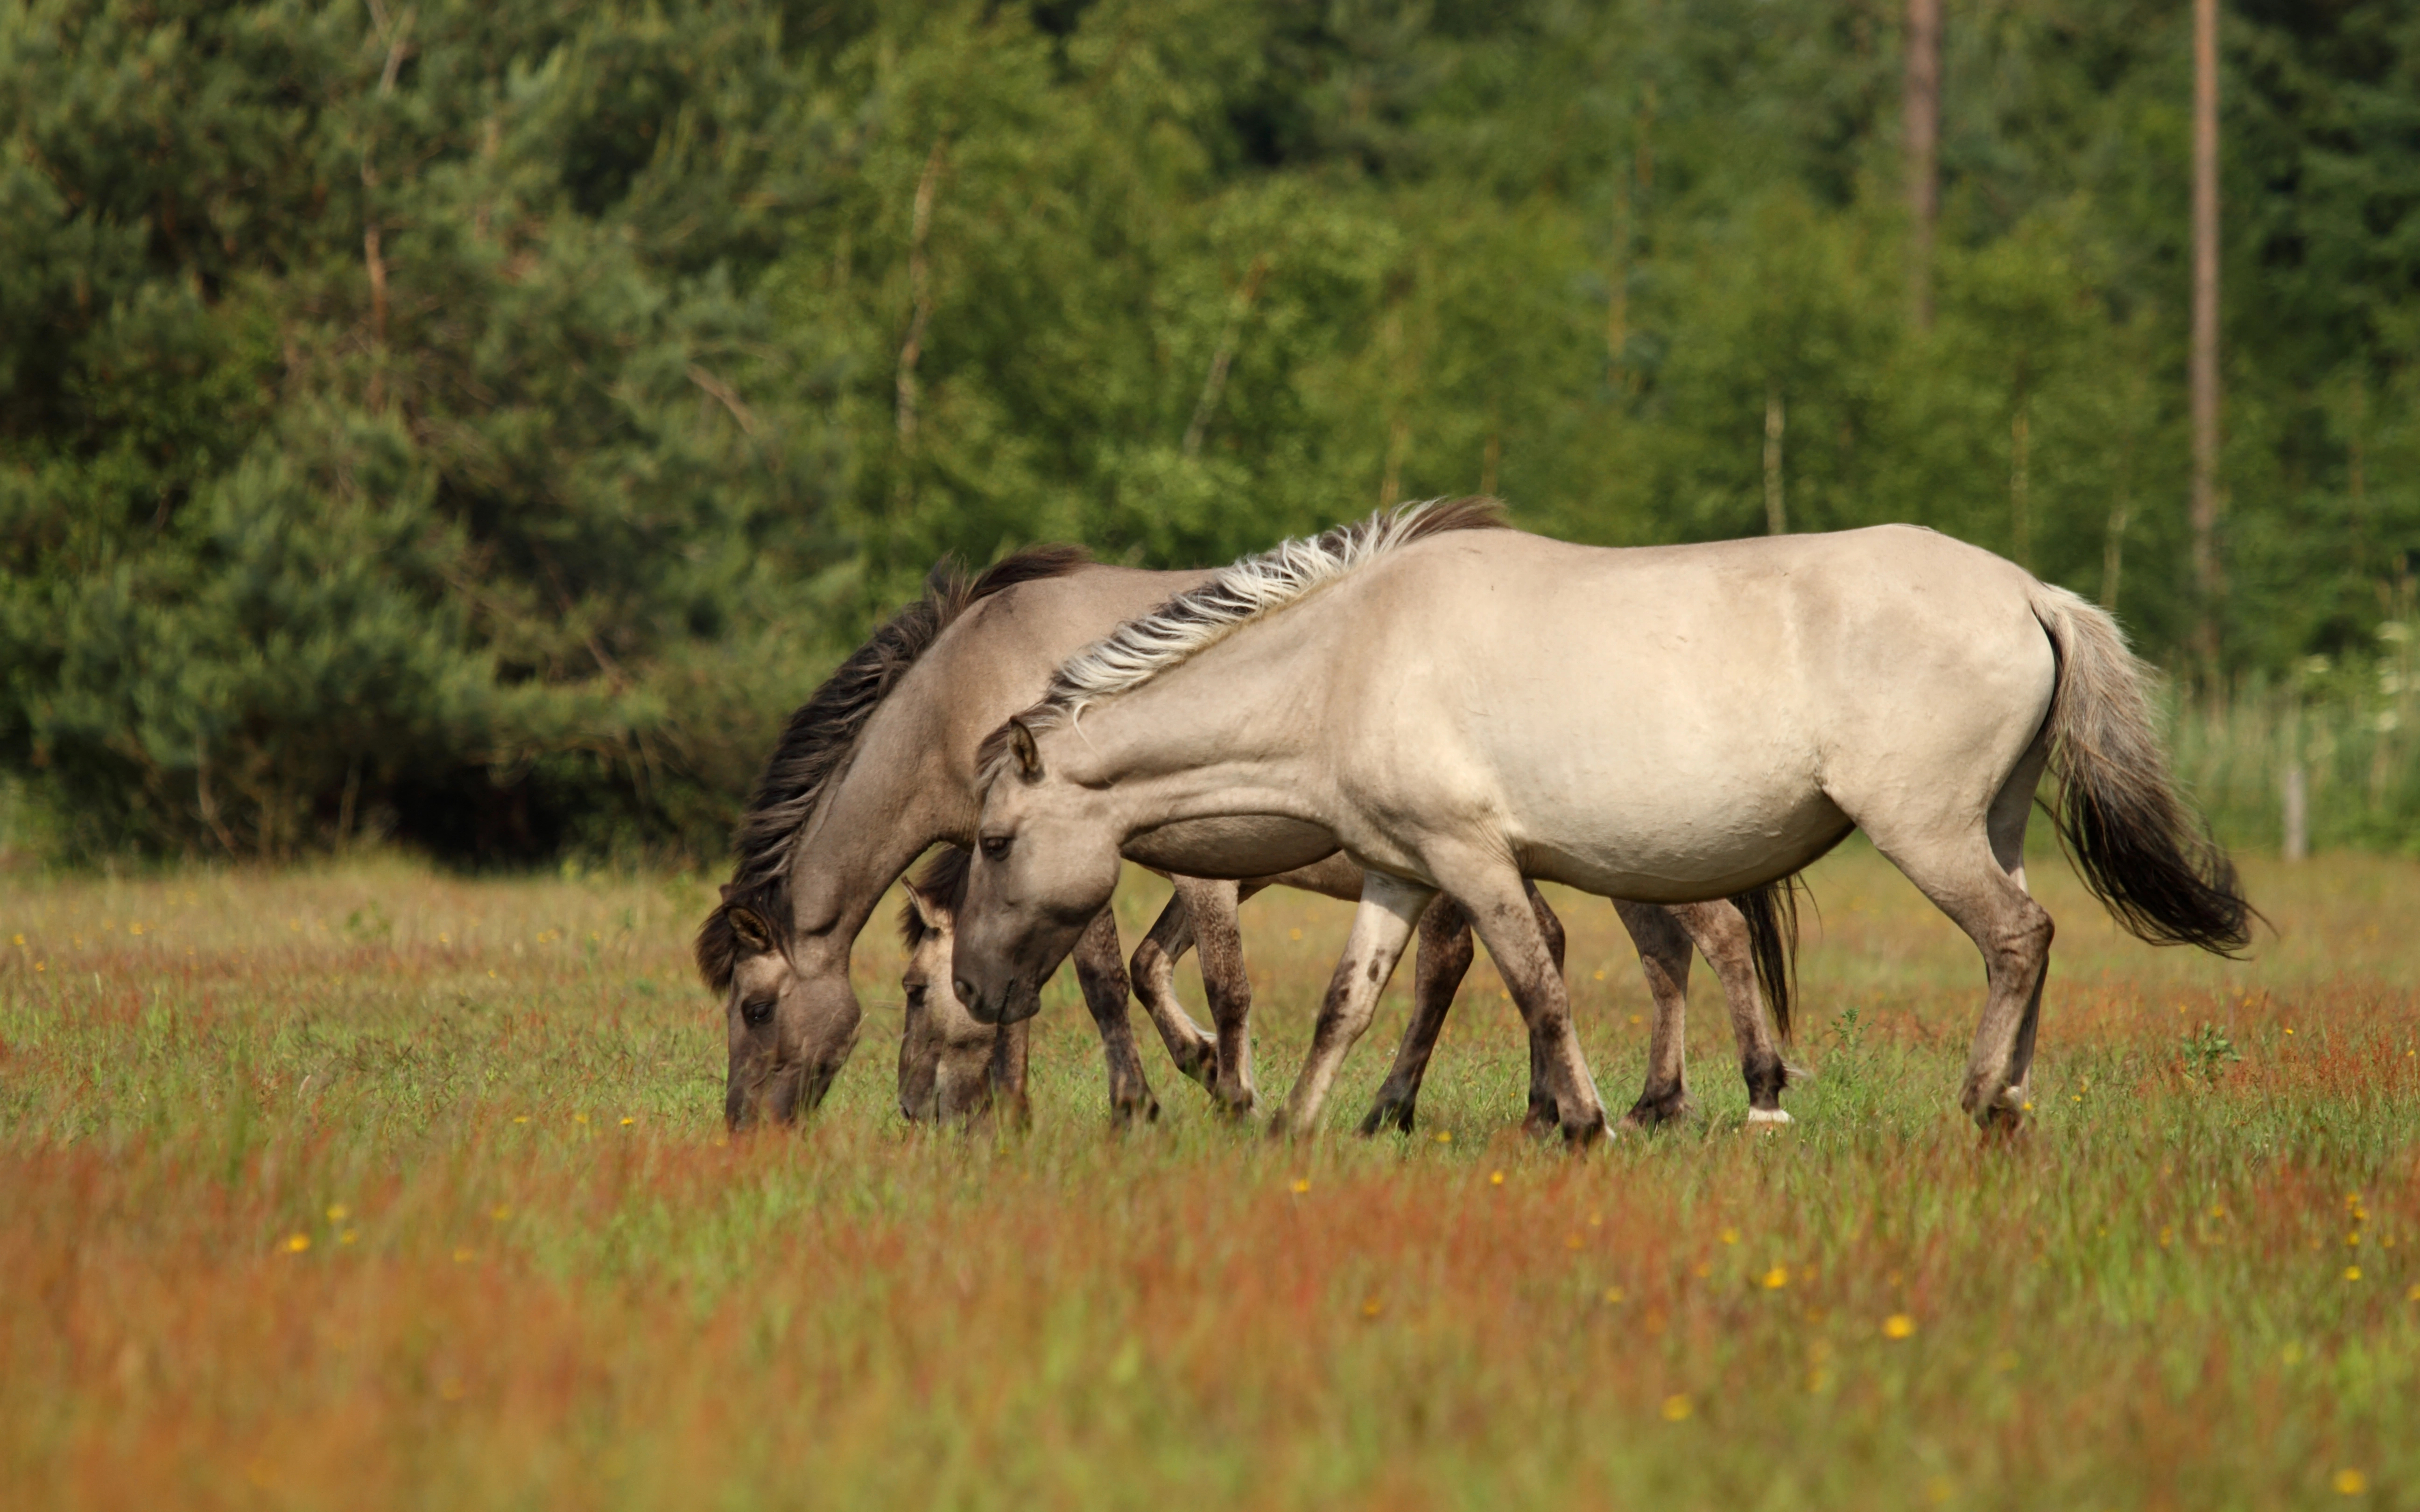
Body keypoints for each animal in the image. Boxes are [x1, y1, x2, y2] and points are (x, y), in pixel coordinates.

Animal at [949, 500, 2251, 1142]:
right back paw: (2013, 1104)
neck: (1345, 658)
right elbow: (1346, 1004)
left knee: (2014, 939)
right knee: (2027, 941)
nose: (970, 985)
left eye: (997, 842)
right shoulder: (1400, 871)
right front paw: (1297, 1129)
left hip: (1925, 832)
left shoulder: (1473, 858)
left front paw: (1579, 1120)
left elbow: (1537, 983)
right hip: (1996, 825)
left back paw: (1980, 1103)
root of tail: (2033, 593)